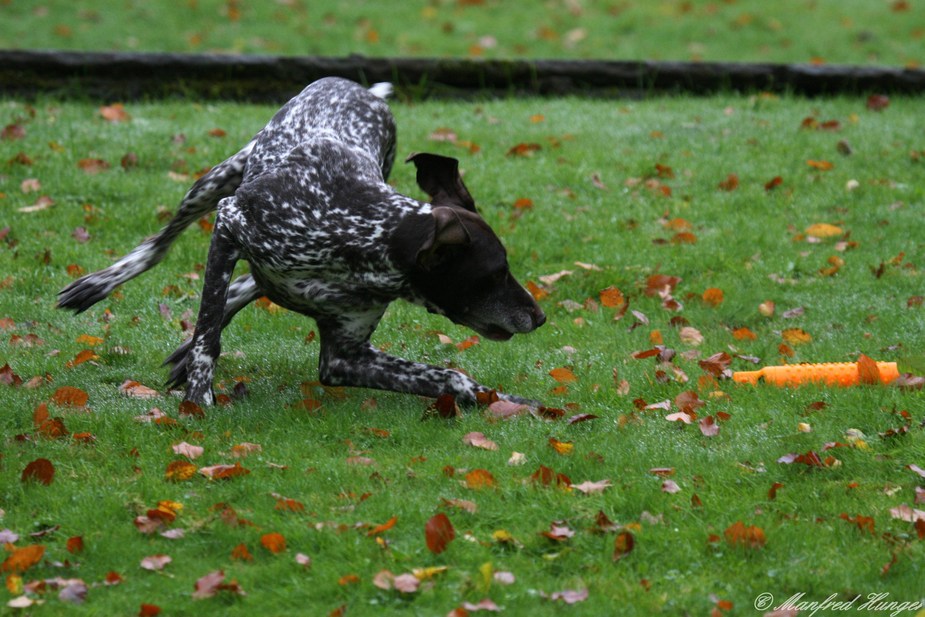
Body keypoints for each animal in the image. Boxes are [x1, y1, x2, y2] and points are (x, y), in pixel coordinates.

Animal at [57, 76, 544, 404]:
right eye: (494, 274)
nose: (539, 318)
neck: (364, 232)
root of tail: (362, 89)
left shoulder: (345, 357)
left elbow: (451, 377)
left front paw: (501, 400)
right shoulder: (230, 222)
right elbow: (207, 338)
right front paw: (198, 399)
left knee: (247, 285)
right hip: (216, 181)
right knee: (161, 247)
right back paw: (98, 284)